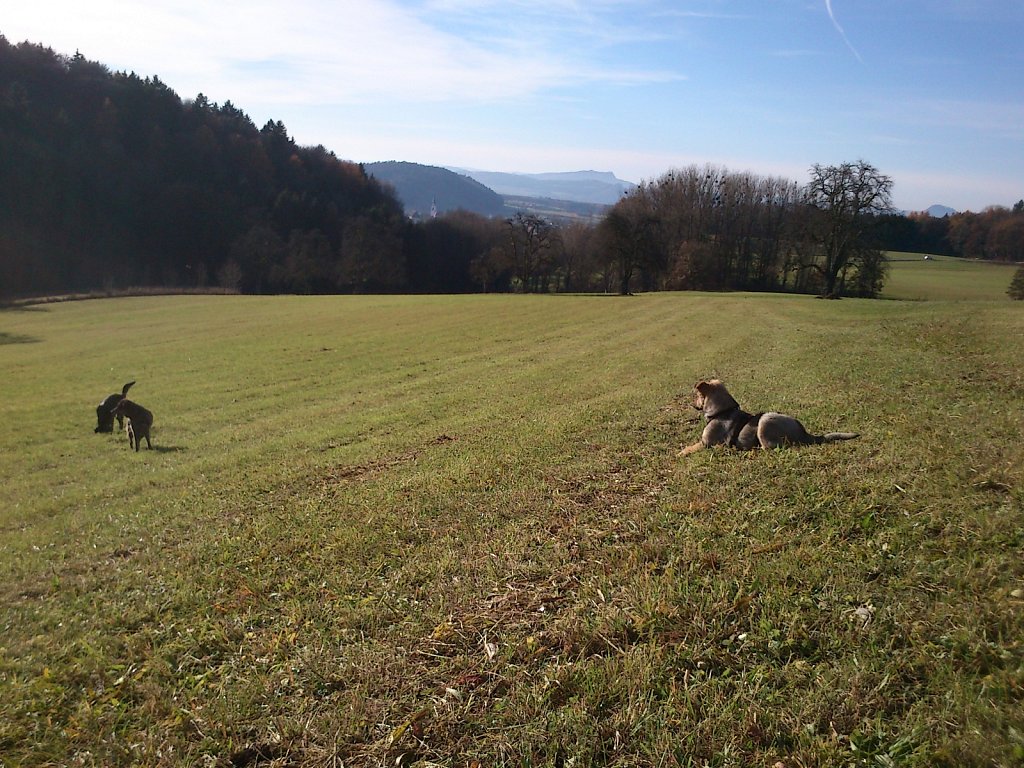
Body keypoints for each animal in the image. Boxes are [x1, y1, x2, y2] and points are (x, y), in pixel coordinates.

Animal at [679, 380, 856, 456]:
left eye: (697, 395)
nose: (692, 404)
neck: (722, 411)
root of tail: (804, 433)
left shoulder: (706, 443)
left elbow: (690, 447)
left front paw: (681, 453)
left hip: (765, 421)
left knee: (773, 448)